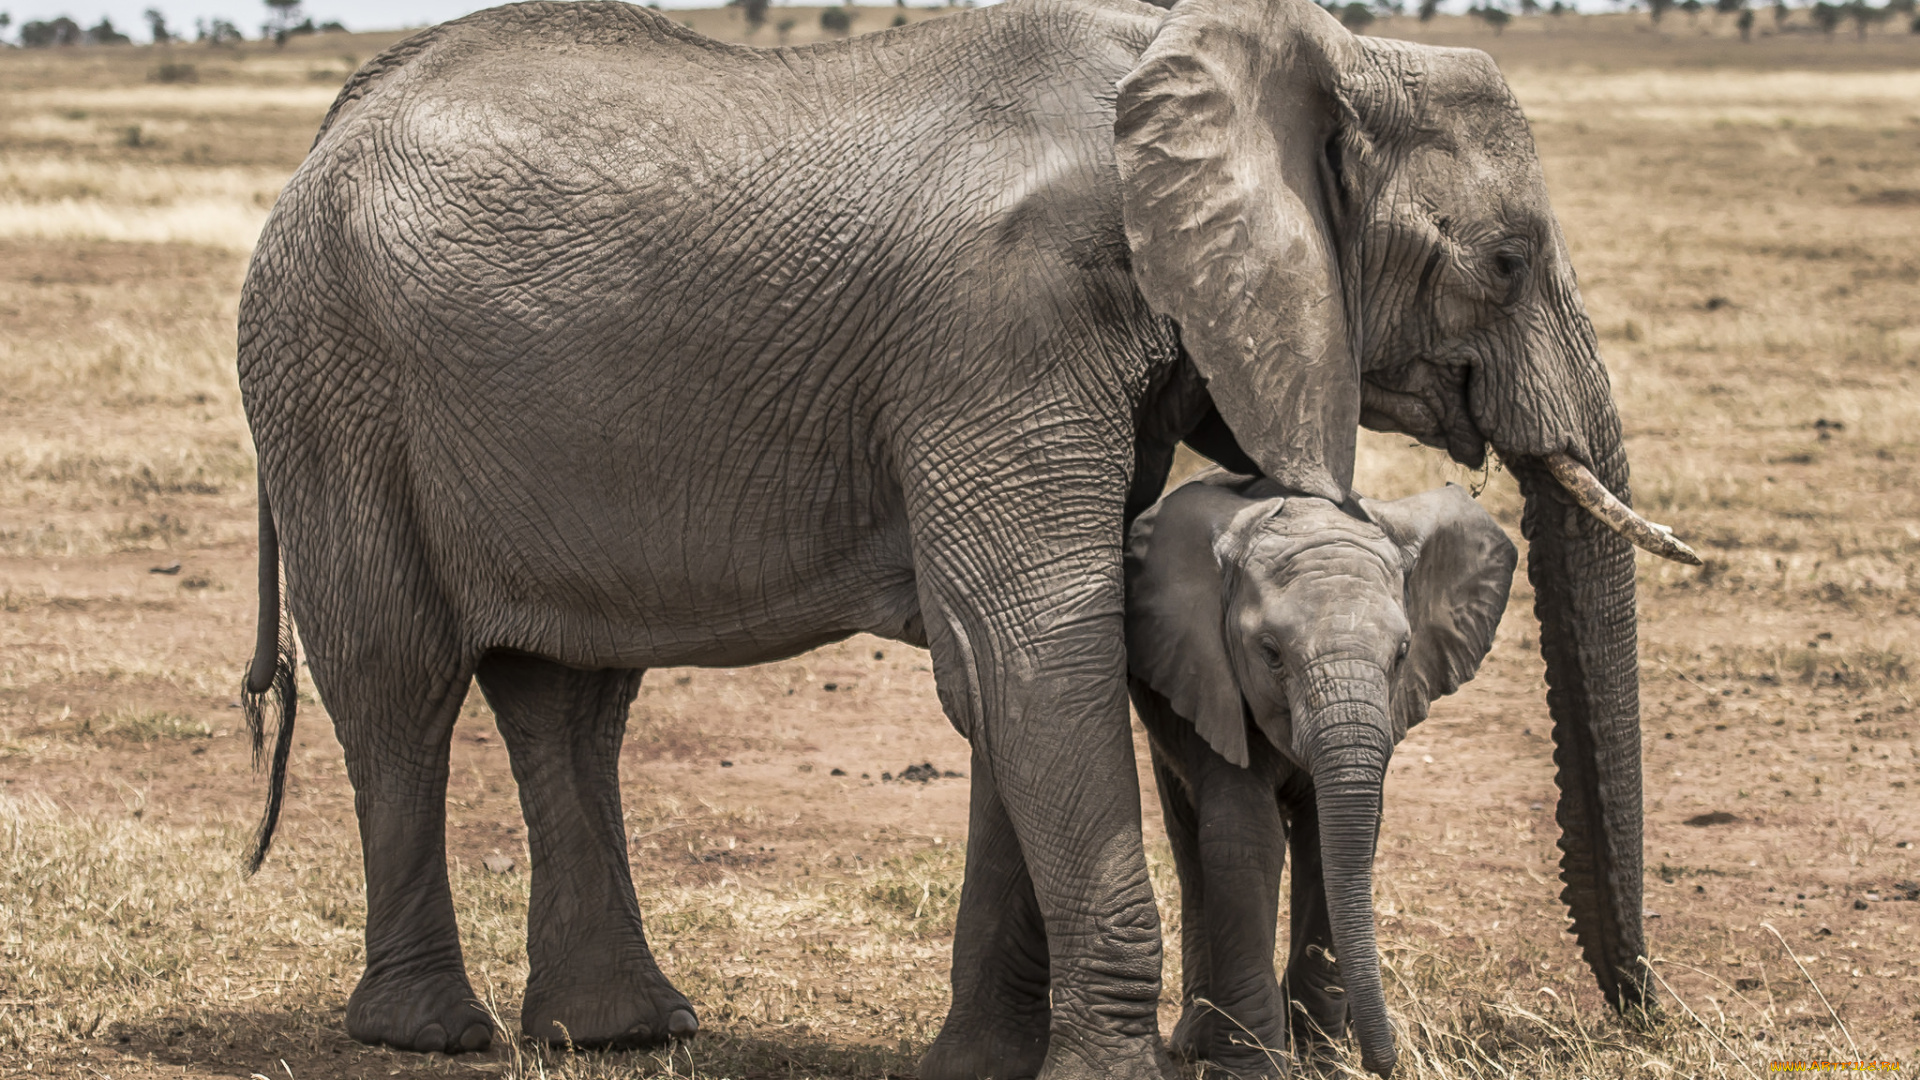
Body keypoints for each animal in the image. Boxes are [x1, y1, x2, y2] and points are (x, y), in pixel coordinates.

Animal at [1121, 466, 1512, 1068]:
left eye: (1402, 654)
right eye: (1270, 653)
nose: (1386, 1063)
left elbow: (1334, 838)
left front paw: (1324, 1060)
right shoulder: (1212, 681)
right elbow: (1246, 839)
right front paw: (1255, 1067)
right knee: (1189, 840)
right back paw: (1196, 1041)